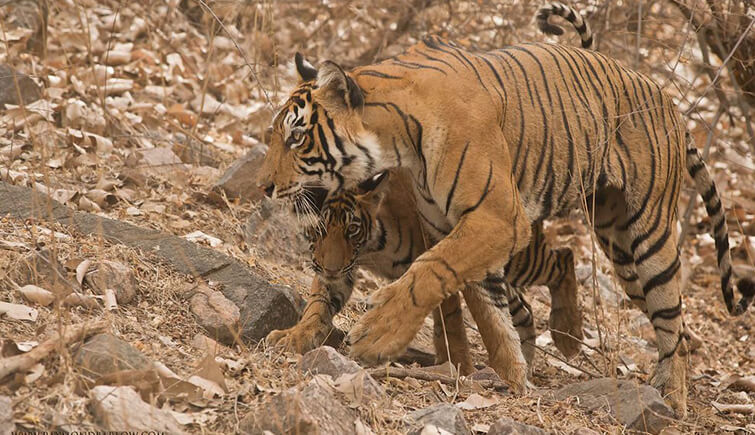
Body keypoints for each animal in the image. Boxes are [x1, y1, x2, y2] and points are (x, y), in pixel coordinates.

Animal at [268, 169, 540, 384]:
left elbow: (448, 317)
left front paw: (458, 365)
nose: (331, 270)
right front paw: (295, 335)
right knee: (522, 309)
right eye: (319, 229)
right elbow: (318, 303)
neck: (371, 247)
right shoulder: (339, 267)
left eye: (352, 229)